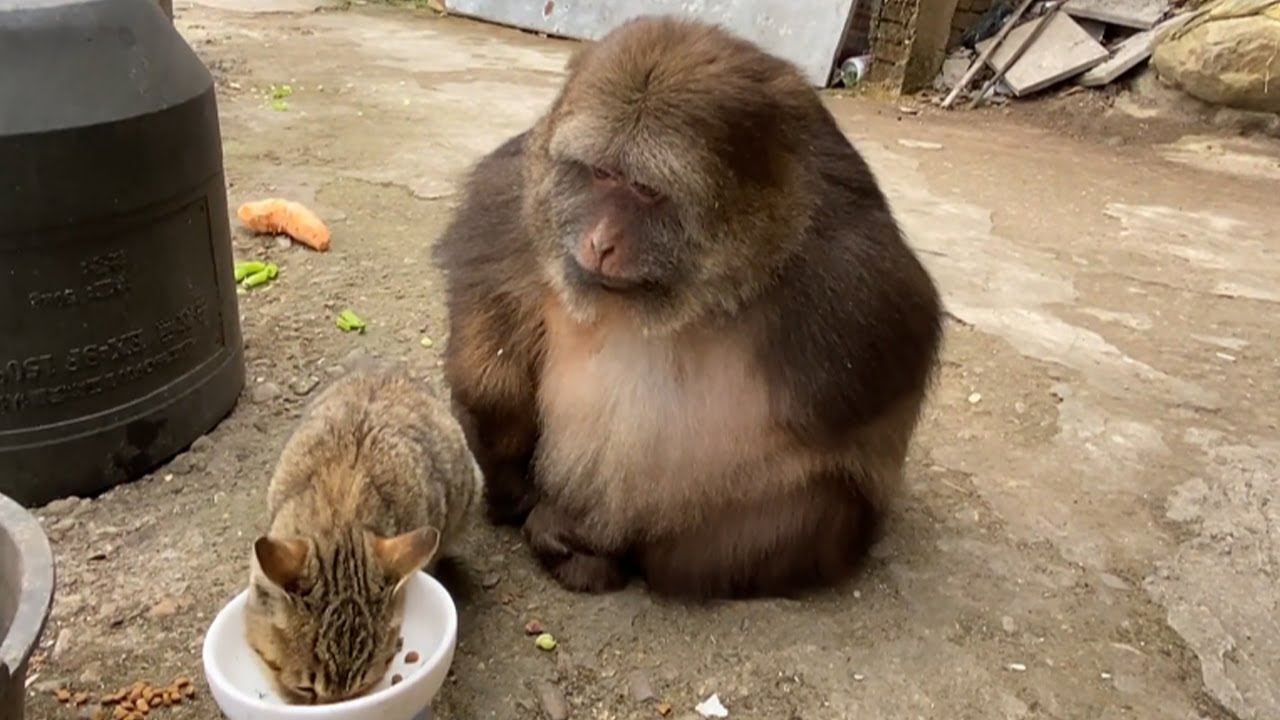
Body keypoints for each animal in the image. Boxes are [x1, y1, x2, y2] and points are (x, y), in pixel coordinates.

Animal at [430, 15, 944, 600]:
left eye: (645, 190)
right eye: (601, 174)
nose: (600, 242)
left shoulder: (851, 273)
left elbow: (883, 385)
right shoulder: (519, 193)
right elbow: (486, 307)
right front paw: (498, 413)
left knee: (789, 520)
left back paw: (595, 549)